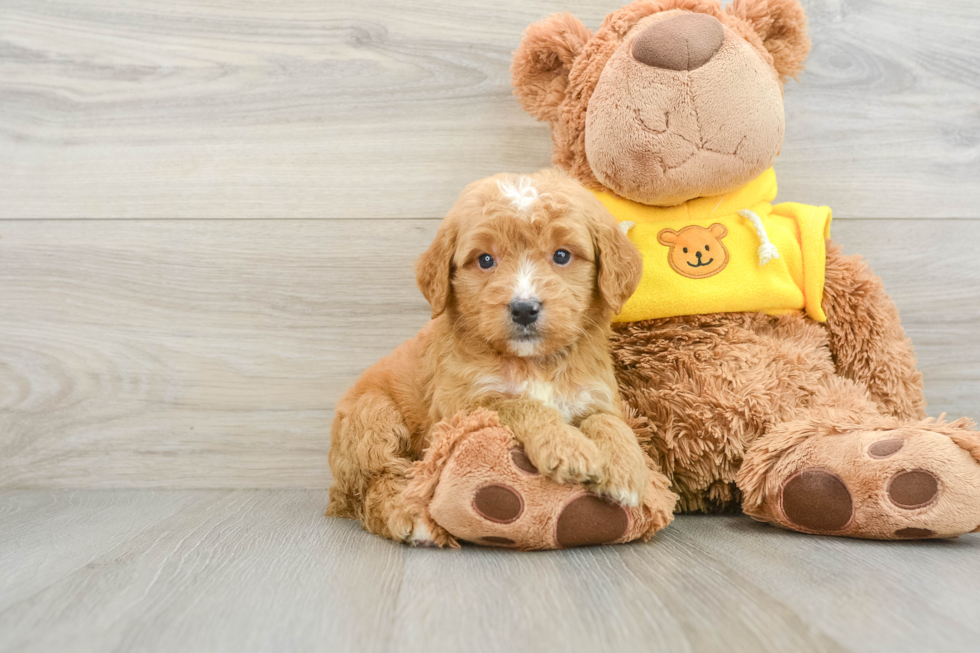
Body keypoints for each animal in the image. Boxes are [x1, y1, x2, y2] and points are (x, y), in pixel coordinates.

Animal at [330, 166, 648, 544]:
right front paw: (567, 448)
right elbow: (520, 404)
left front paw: (626, 468)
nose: (524, 309)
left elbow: (609, 421)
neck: (534, 363)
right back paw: (410, 516)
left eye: (562, 255)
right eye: (485, 260)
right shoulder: (461, 406)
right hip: (373, 416)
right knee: (378, 482)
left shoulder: (596, 394)